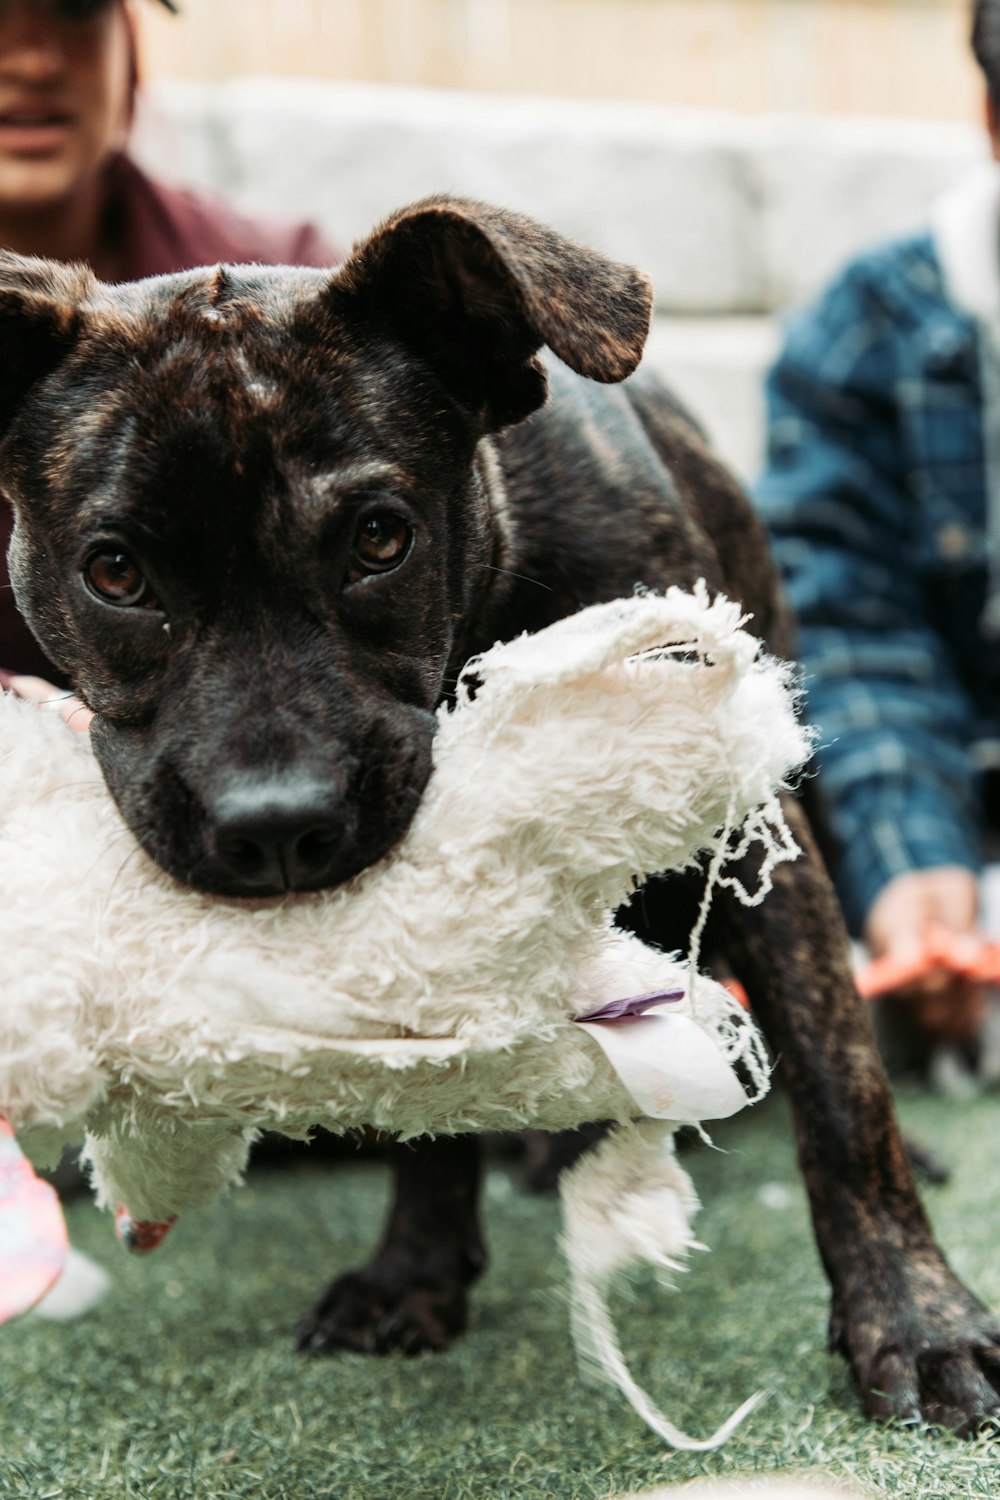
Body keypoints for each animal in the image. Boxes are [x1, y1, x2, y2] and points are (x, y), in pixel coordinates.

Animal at [1, 199, 1000, 1428]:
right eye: (115, 572)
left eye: (381, 539)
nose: (277, 826)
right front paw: (417, 1270)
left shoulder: (756, 830)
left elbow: (837, 1076)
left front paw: (915, 1320)